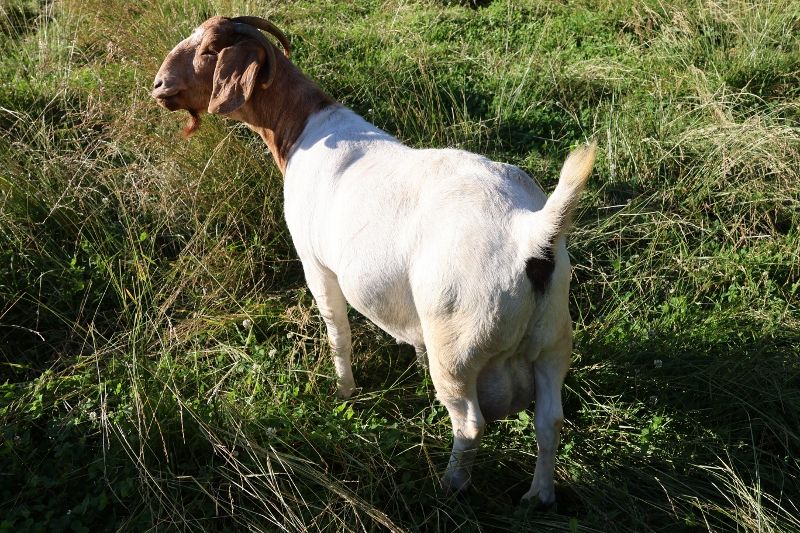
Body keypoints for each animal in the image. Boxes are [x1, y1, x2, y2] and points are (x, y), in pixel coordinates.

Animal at [152, 16, 596, 505]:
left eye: (209, 50)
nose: (159, 86)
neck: (302, 128)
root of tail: (529, 233)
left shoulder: (316, 264)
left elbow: (337, 331)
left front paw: (344, 391)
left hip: (459, 348)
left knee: (470, 424)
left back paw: (449, 485)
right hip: (554, 341)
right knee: (549, 421)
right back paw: (538, 496)